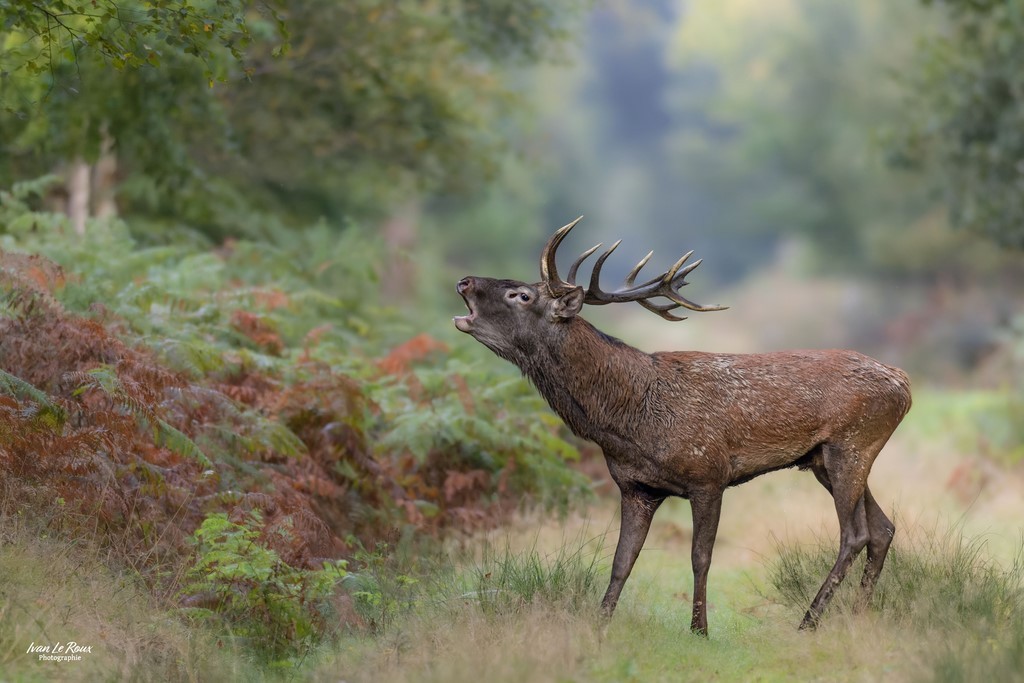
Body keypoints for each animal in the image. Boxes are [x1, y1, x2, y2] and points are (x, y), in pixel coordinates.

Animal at [453, 217, 912, 635]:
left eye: (521, 294)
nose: (464, 280)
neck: (625, 423)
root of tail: (904, 384)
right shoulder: (636, 487)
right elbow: (622, 561)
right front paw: (599, 625)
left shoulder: (708, 475)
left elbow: (699, 557)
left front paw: (699, 629)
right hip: (824, 460)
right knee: (882, 529)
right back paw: (858, 617)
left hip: (852, 445)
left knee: (855, 533)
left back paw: (809, 621)